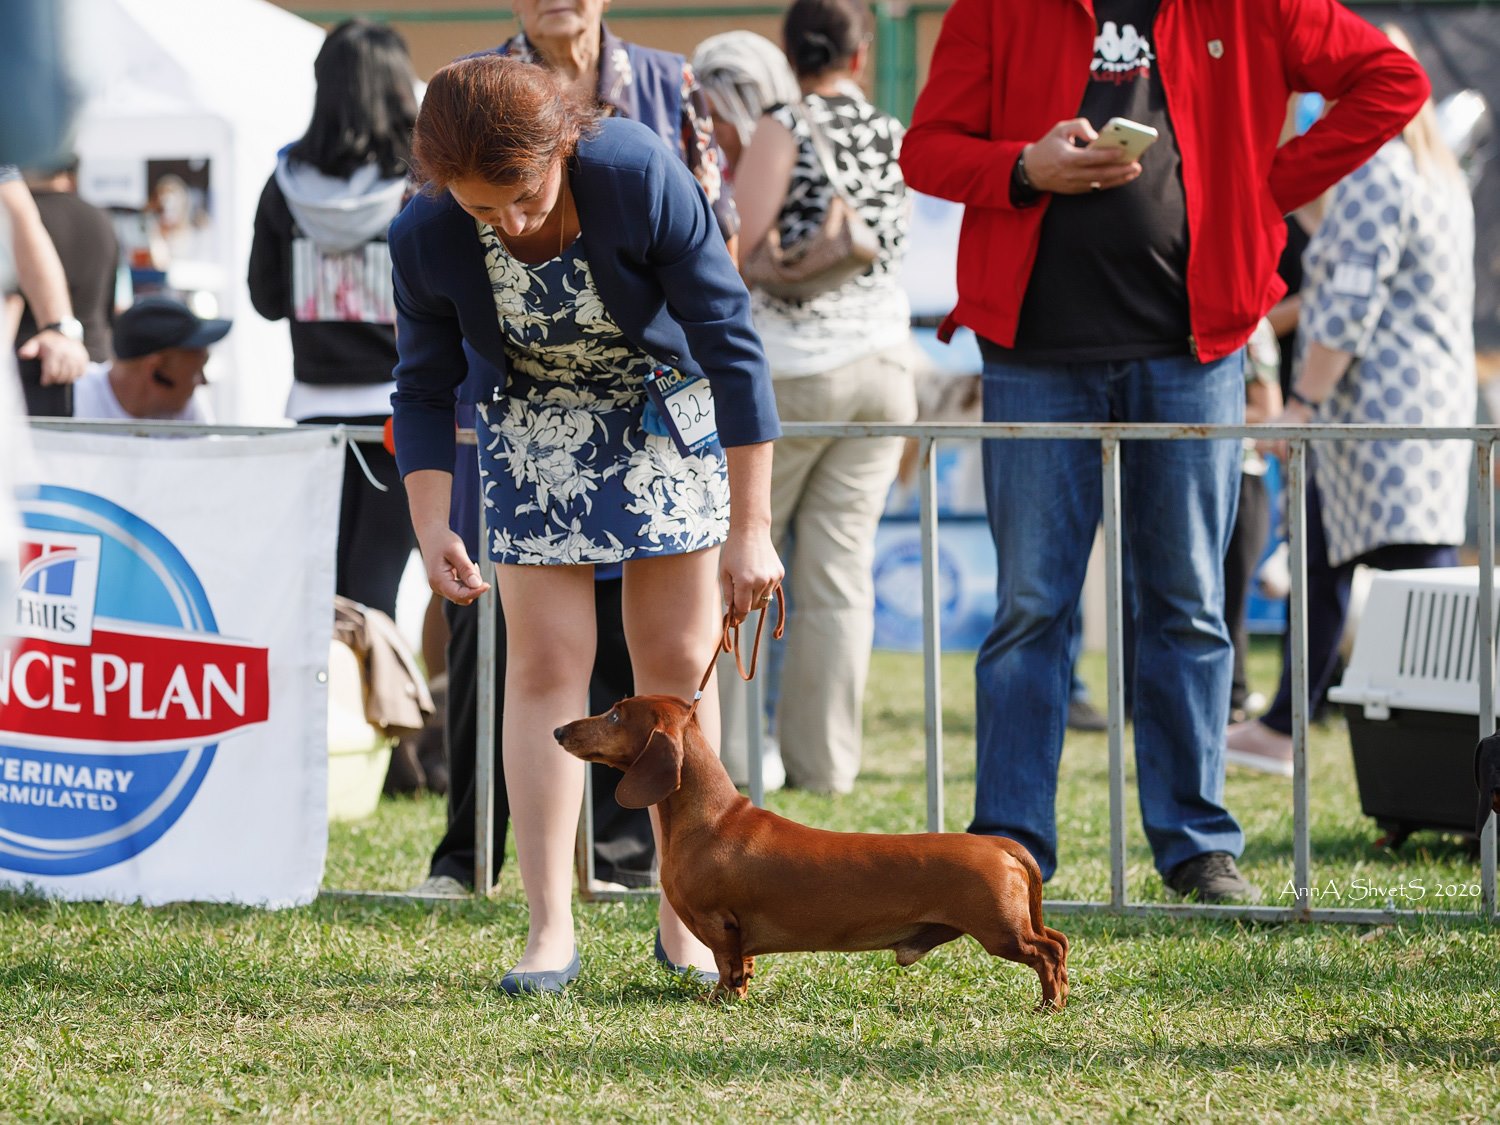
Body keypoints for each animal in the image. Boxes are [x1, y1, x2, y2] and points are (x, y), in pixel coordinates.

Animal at [554, 695, 1069, 1009]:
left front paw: (723, 1002)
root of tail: (999, 843)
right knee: (1059, 942)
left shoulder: (720, 923)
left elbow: (726, 968)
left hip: (1001, 931)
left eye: (615, 715)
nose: (558, 730)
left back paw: (1048, 1005)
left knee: (1047, 952)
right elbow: (741, 966)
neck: (713, 819)